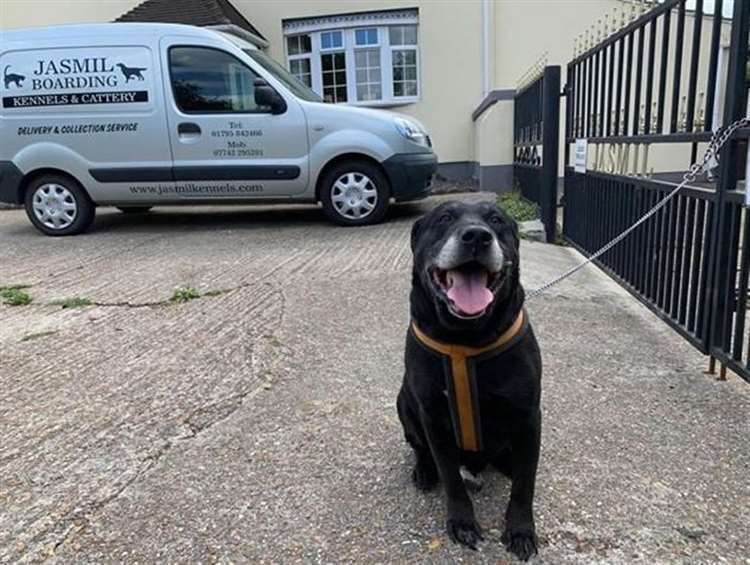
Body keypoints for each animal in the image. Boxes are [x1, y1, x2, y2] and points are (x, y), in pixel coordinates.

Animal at [396, 200, 544, 556]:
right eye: (444, 218)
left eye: (497, 220)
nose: (477, 235)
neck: (466, 337)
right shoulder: (433, 417)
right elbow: (451, 477)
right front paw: (462, 522)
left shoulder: (529, 416)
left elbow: (525, 483)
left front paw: (520, 530)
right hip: (402, 401)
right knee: (419, 446)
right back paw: (424, 470)